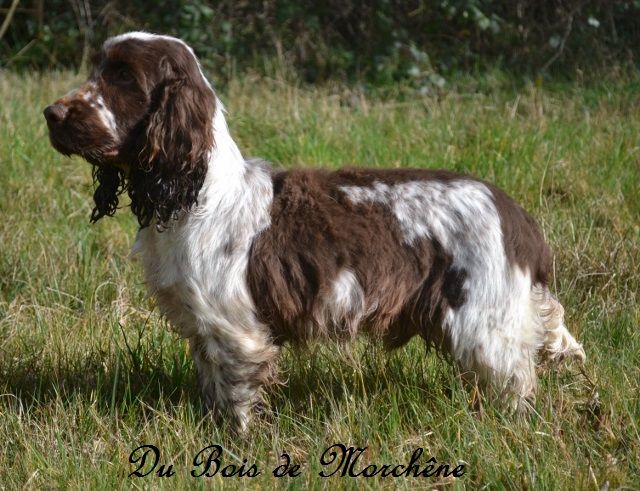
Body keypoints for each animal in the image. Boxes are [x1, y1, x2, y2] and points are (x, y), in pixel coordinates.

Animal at [44, 32, 586, 431]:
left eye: (123, 78)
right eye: (96, 71)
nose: (50, 113)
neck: (198, 194)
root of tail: (517, 217)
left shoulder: (236, 331)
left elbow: (237, 401)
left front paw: (235, 444)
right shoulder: (205, 328)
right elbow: (215, 388)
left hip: (482, 325)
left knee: (517, 382)